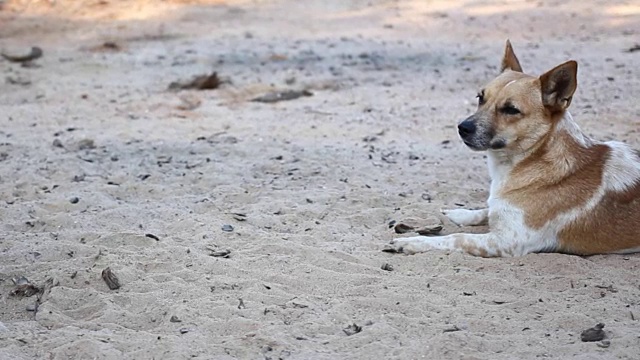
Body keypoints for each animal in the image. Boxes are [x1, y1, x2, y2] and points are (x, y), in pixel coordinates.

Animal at [388, 40, 640, 258]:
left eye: (511, 110)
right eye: (480, 98)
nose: (462, 128)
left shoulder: (506, 242)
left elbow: (457, 238)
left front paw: (414, 242)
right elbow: (486, 210)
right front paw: (459, 214)